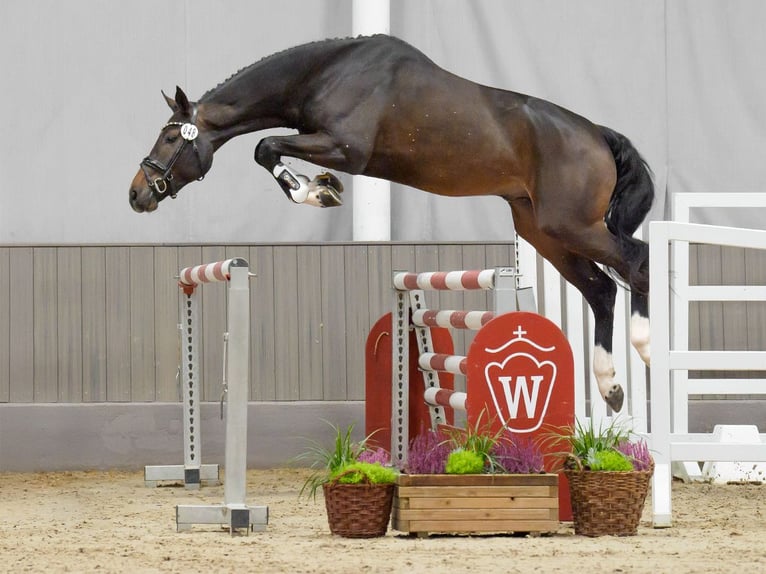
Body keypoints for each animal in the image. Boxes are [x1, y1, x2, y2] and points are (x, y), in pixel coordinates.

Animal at [130, 35, 656, 414]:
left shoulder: (346, 147)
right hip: (542, 231)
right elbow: (269, 149)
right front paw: (320, 187)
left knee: (637, 261)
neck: (326, 73)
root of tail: (597, 135)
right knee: (601, 291)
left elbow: (265, 148)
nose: (137, 194)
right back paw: (610, 387)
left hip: (570, 225)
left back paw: (646, 346)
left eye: (170, 137)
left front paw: (316, 191)